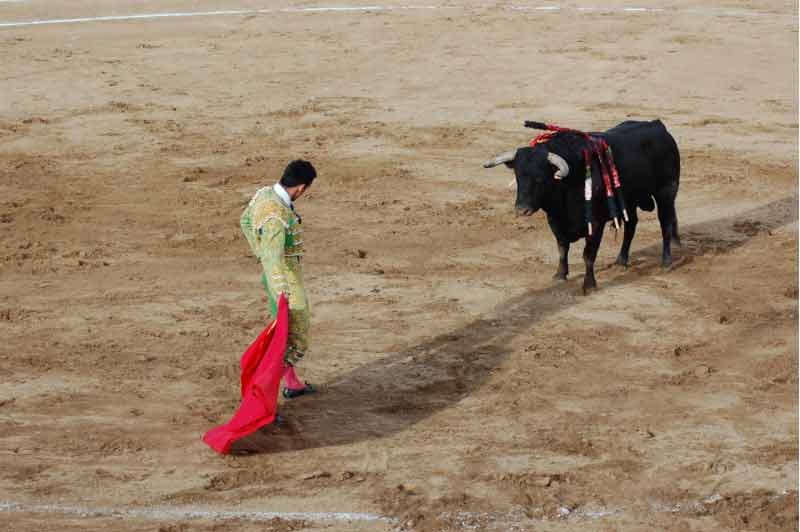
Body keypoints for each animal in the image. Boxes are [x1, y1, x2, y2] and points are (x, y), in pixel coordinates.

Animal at [482, 119, 680, 294]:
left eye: (540, 178)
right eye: (518, 176)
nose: (522, 210)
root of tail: (657, 125)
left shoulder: (596, 223)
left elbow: (588, 255)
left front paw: (589, 285)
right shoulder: (555, 220)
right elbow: (562, 248)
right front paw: (560, 275)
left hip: (666, 192)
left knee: (665, 223)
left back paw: (666, 262)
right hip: (628, 200)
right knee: (631, 225)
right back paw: (621, 261)